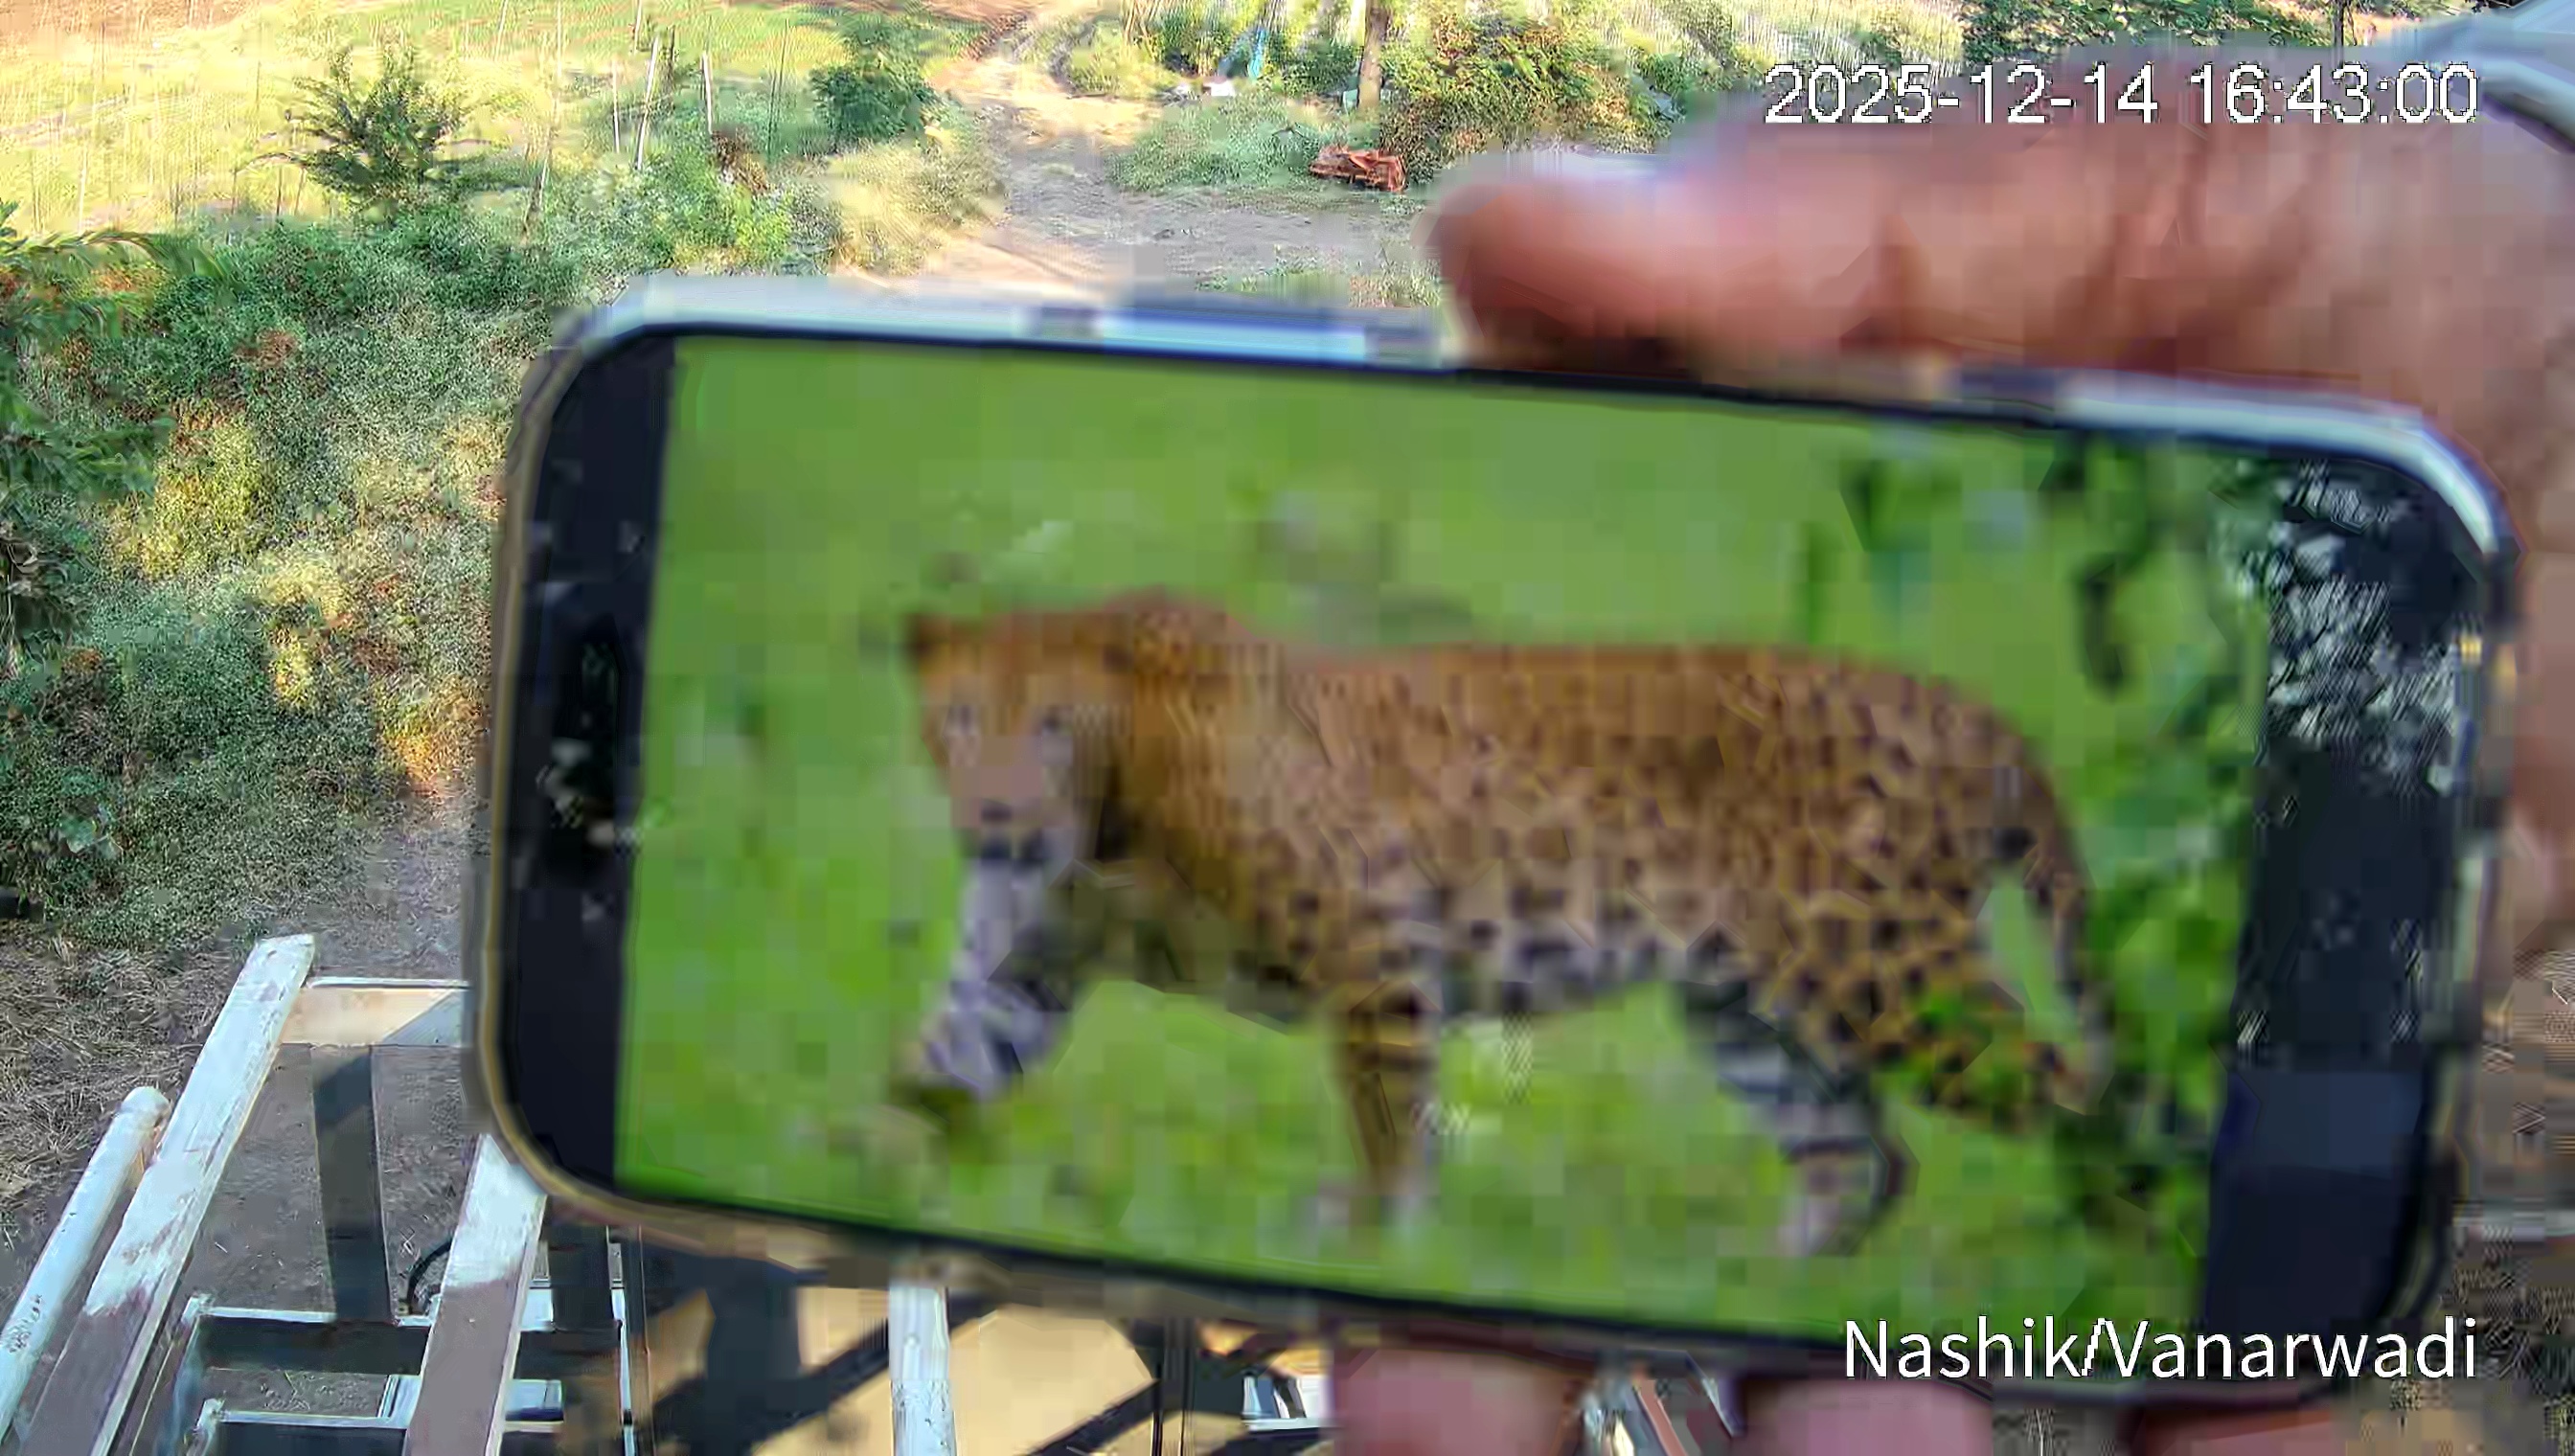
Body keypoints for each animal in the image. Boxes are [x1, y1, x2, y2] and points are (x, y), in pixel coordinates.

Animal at [882, 588, 2123, 1258]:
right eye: (960, 718)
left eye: (1053, 724)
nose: (996, 817)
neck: (1103, 819)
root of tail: (1978, 717)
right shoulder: (1019, 969)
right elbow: (932, 1068)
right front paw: (862, 1173)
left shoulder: (1373, 940)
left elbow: (1389, 1115)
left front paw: (1377, 1239)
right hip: (1746, 1010)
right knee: (1862, 1151)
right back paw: (1764, 1284)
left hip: (1894, 973)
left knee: (2084, 1102)